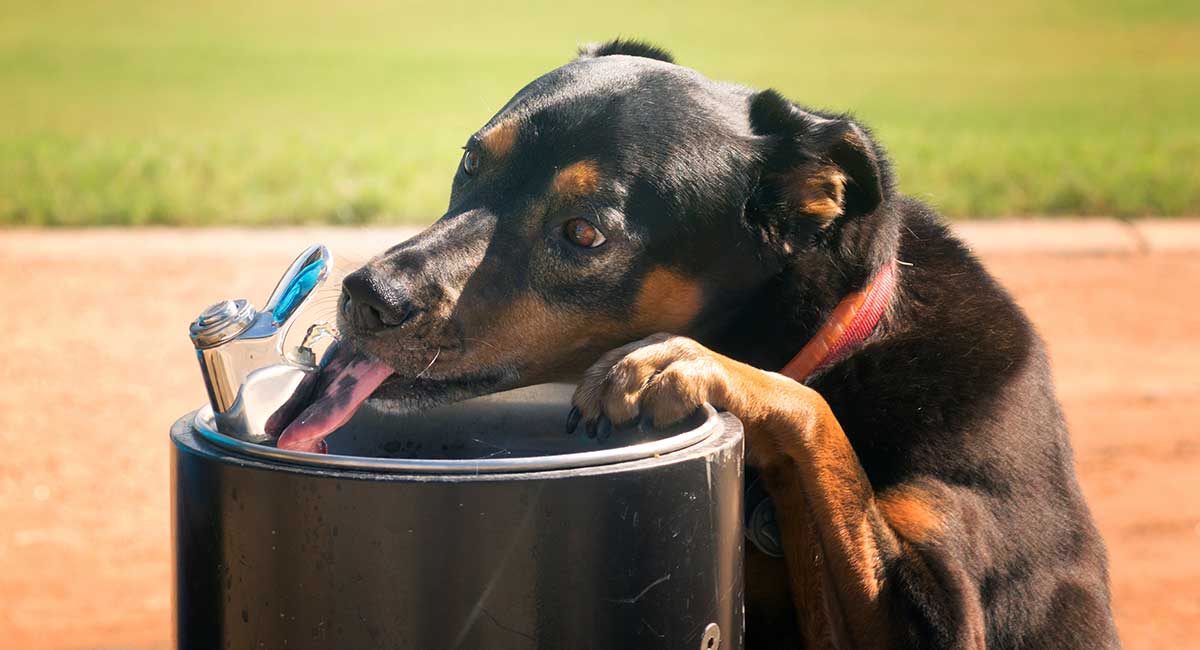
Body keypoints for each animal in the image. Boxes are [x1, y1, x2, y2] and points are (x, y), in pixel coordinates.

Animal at [276, 39, 1118, 647]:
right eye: (471, 161)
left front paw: (694, 364)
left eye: (584, 233)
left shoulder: (937, 611)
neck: (832, 344)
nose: (369, 295)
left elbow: (813, 419)